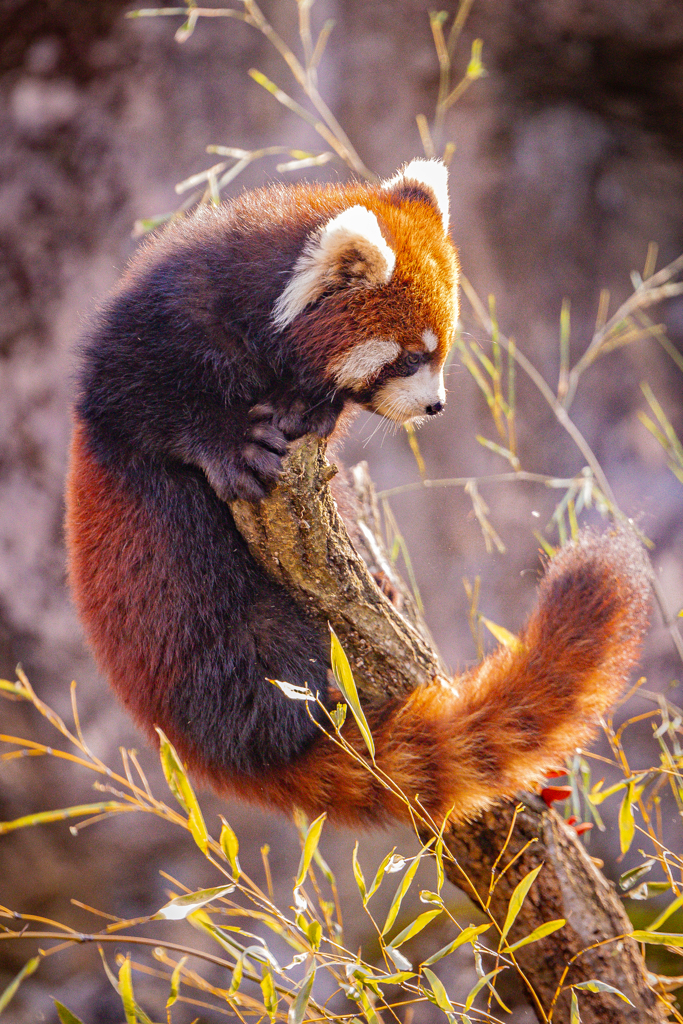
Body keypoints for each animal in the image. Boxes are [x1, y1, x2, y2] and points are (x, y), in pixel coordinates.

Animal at [65, 161, 651, 831]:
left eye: (441, 351)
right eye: (412, 357)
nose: (435, 406)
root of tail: (211, 756)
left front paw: (305, 409)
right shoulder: (153, 329)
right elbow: (143, 407)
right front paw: (234, 444)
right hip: (205, 629)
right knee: (277, 666)